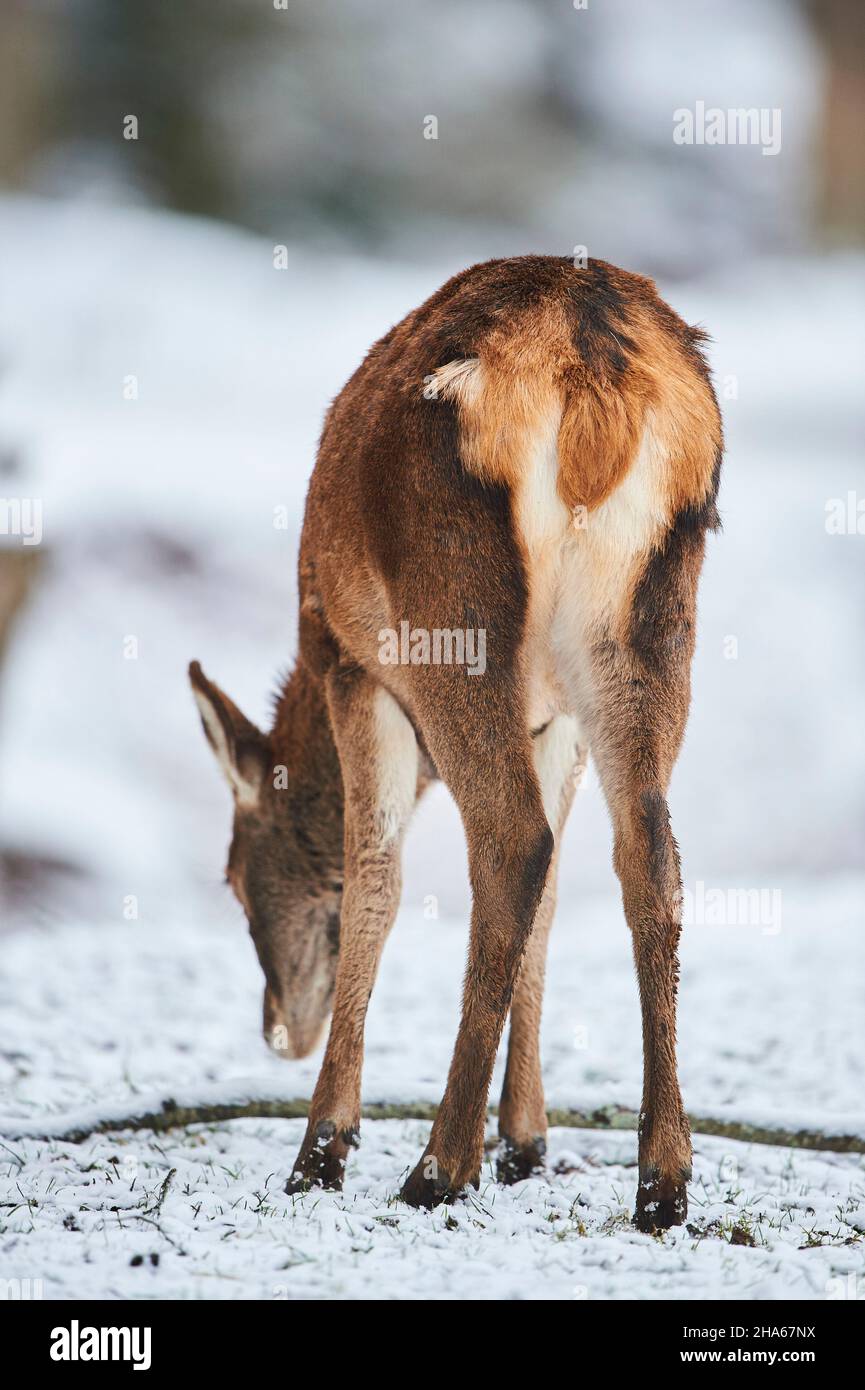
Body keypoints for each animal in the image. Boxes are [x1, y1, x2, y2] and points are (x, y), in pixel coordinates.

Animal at [191, 255, 723, 1234]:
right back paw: (661, 1181)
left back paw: (436, 1166)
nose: (277, 1030)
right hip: (648, 619)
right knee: (646, 853)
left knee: (510, 841)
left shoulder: (355, 669)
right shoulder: (553, 719)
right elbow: (551, 905)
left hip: (448, 609)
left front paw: (324, 1149)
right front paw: (527, 1139)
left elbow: (376, 880)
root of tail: (594, 378)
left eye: (235, 879)